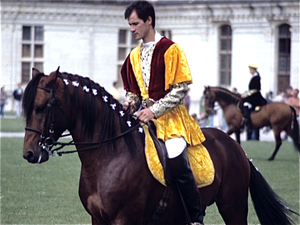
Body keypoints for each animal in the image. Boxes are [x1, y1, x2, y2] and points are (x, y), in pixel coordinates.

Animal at [22, 67, 296, 224]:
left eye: (41, 107)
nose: (29, 153)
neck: (109, 155)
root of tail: (237, 150)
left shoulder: (124, 219)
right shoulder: (98, 219)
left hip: (233, 207)